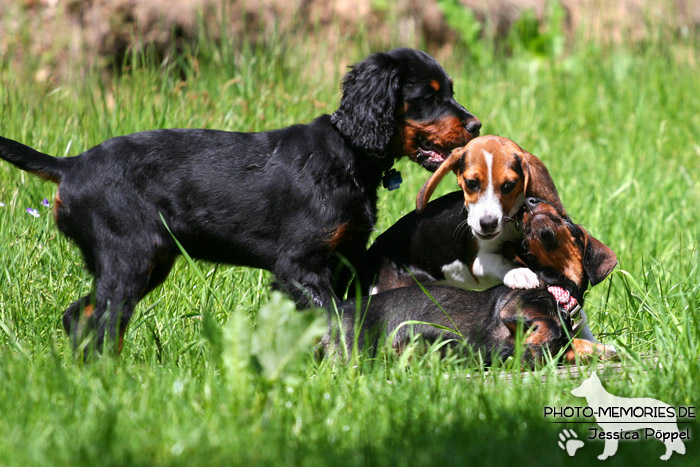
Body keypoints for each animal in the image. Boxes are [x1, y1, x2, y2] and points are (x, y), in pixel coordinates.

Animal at [0, 48, 482, 354]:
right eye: (428, 97)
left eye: (450, 90)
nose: (476, 124)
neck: (348, 152)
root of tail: (71, 165)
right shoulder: (300, 265)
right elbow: (333, 318)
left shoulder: (342, 259)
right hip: (129, 256)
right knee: (102, 322)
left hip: (148, 261)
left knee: (79, 315)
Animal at [330, 197, 616, 362]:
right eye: (524, 235)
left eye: (565, 220)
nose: (530, 202)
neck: (557, 287)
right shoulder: (514, 307)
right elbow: (552, 331)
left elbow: (575, 345)